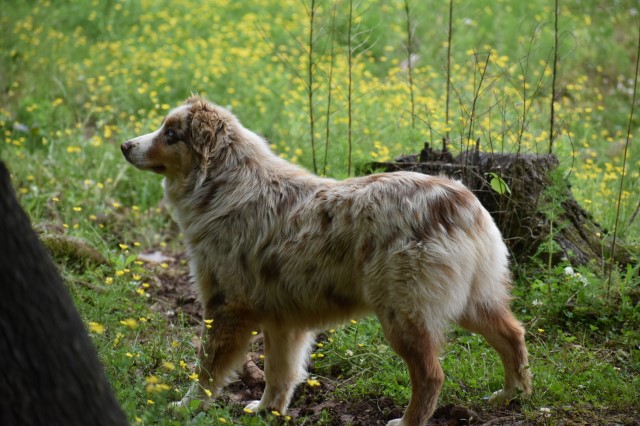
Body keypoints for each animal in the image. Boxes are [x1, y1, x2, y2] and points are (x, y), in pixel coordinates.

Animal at [120, 96, 528, 426]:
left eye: (171, 134)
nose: (125, 145)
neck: (221, 184)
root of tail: (460, 198)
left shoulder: (227, 307)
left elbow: (206, 371)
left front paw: (184, 406)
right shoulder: (281, 318)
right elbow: (279, 372)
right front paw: (268, 411)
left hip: (403, 313)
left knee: (431, 375)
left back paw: (408, 421)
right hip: (474, 300)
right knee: (513, 335)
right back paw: (513, 396)